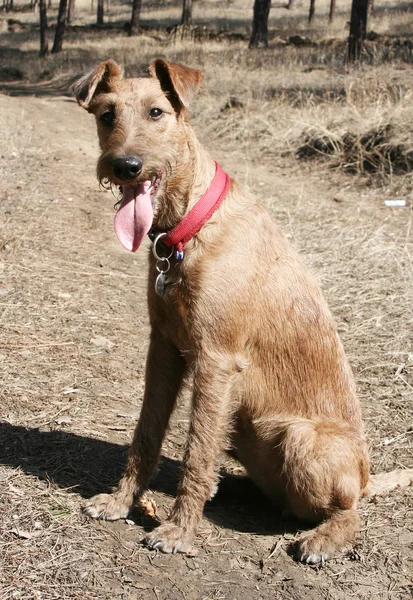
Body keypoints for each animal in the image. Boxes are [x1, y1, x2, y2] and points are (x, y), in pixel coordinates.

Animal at [71, 57, 412, 564]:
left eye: (156, 112)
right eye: (107, 114)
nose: (125, 165)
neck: (191, 222)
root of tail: (367, 476)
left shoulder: (215, 359)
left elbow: (195, 451)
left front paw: (179, 531)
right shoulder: (164, 348)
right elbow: (146, 433)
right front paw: (120, 501)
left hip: (302, 439)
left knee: (348, 511)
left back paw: (320, 539)